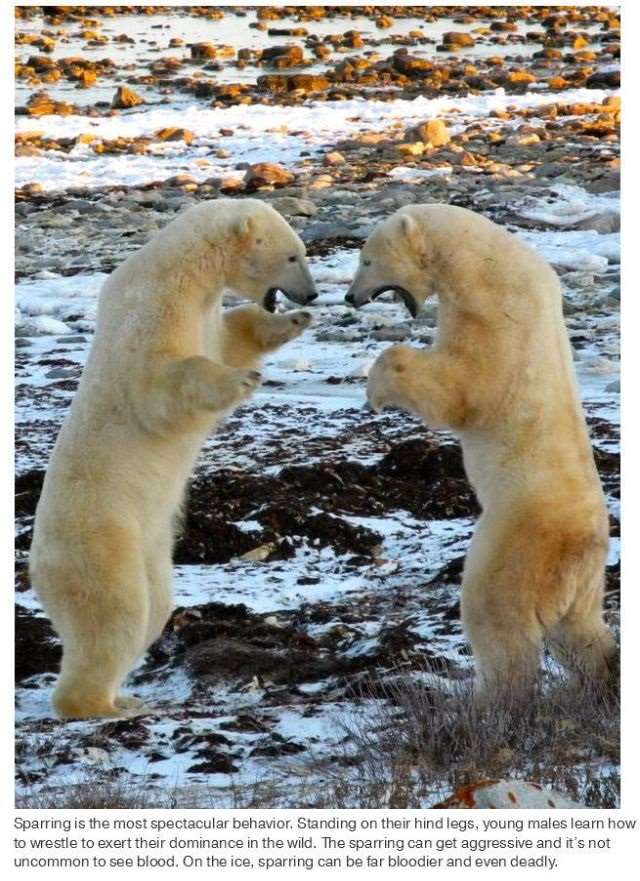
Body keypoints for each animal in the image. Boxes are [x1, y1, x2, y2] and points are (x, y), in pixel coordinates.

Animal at [31, 198, 316, 716]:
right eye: (291, 256)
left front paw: (290, 323)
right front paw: (241, 380)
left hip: (150, 543)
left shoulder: (202, 309)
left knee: (155, 607)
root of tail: (36, 563)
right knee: (117, 609)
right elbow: (164, 382)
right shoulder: (153, 310)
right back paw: (99, 704)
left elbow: (230, 338)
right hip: (102, 537)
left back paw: (123, 693)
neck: (181, 267)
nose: (313, 294)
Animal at [344, 205, 616, 700]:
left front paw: (377, 388)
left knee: (498, 618)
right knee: (579, 629)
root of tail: (579, 547)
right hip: (586, 577)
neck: (482, 263)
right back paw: (606, 675)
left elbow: (457, 388)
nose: (350, 297)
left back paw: (488, 700)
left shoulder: (491, 315)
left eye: (367, 260)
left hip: (517, 543)